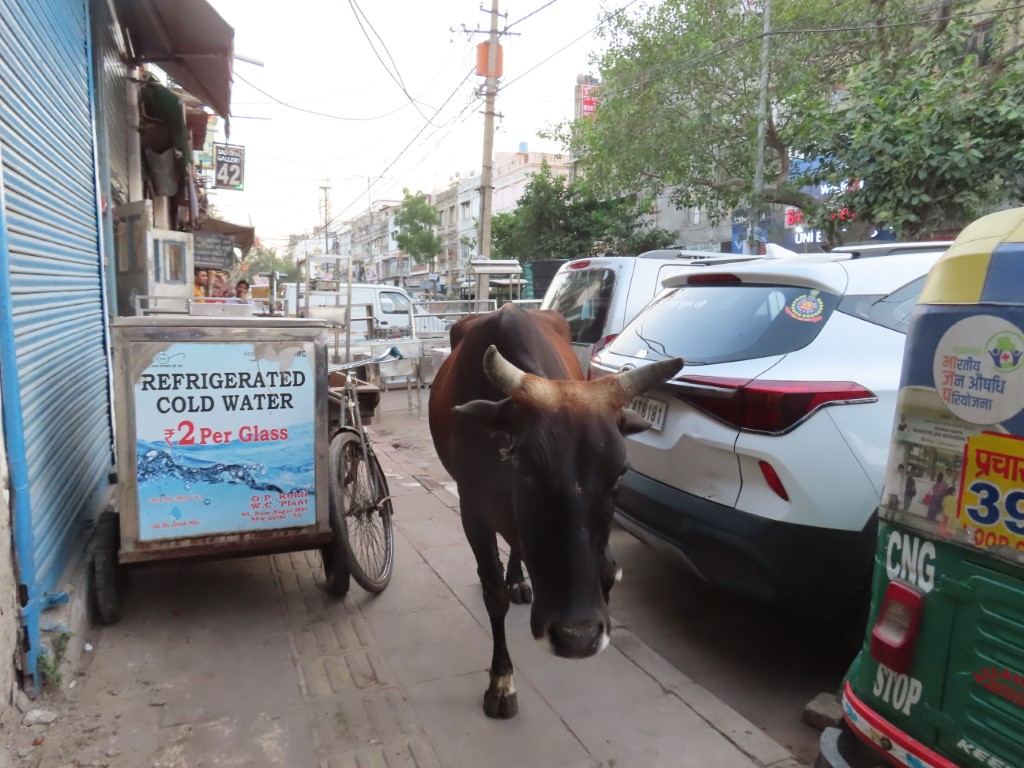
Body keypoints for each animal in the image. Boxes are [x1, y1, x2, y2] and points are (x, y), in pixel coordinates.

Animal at [428, 303, 682, 718]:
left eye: (620, 471)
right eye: (526, 467)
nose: (576, 637)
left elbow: (607, 568)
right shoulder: (472, 511)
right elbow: (493, 592)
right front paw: (501, 681)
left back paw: (519, 580)